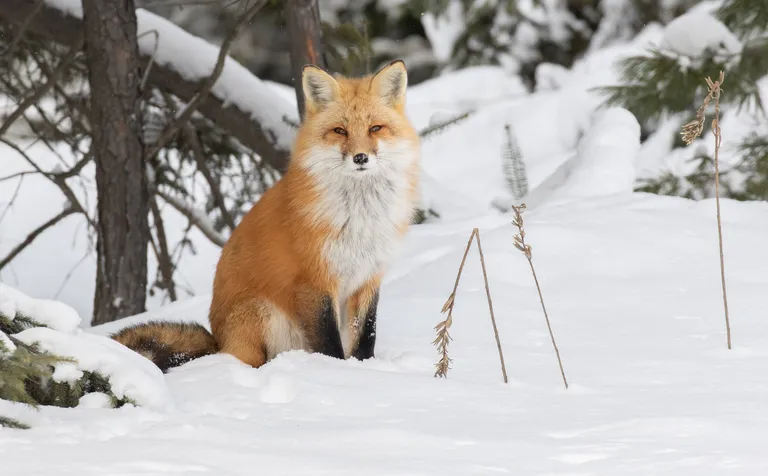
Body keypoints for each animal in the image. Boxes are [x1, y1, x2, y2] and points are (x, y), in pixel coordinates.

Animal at [111, 60, 421, 372]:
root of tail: (218, 341)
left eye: (375, 128)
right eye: (340, 130)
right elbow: (328, 341)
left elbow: (366, 334)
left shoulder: (369, 277)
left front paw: (366, 368)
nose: (360, 158)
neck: (359, 217)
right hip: (263, 314)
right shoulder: (315, 280)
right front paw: (333, 372)